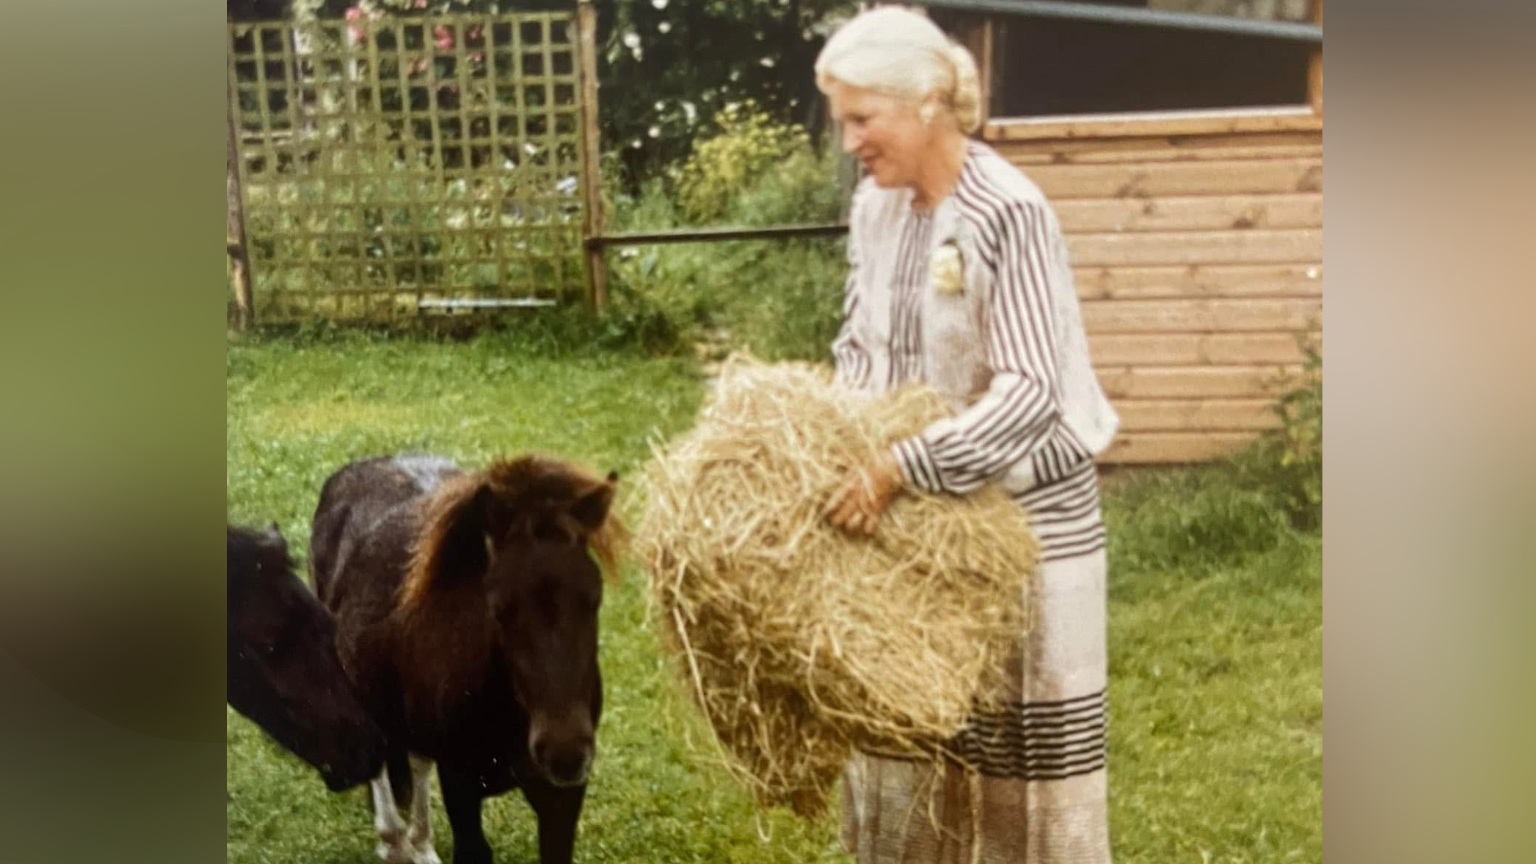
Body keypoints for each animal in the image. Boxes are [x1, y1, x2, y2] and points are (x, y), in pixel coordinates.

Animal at [308, 451, 620, 860]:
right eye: (499, 607)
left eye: (593, 598)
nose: (564, 751)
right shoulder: (461, 785)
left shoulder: (561, 799)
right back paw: (393, 842)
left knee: (416, 760)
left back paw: (421, 846)